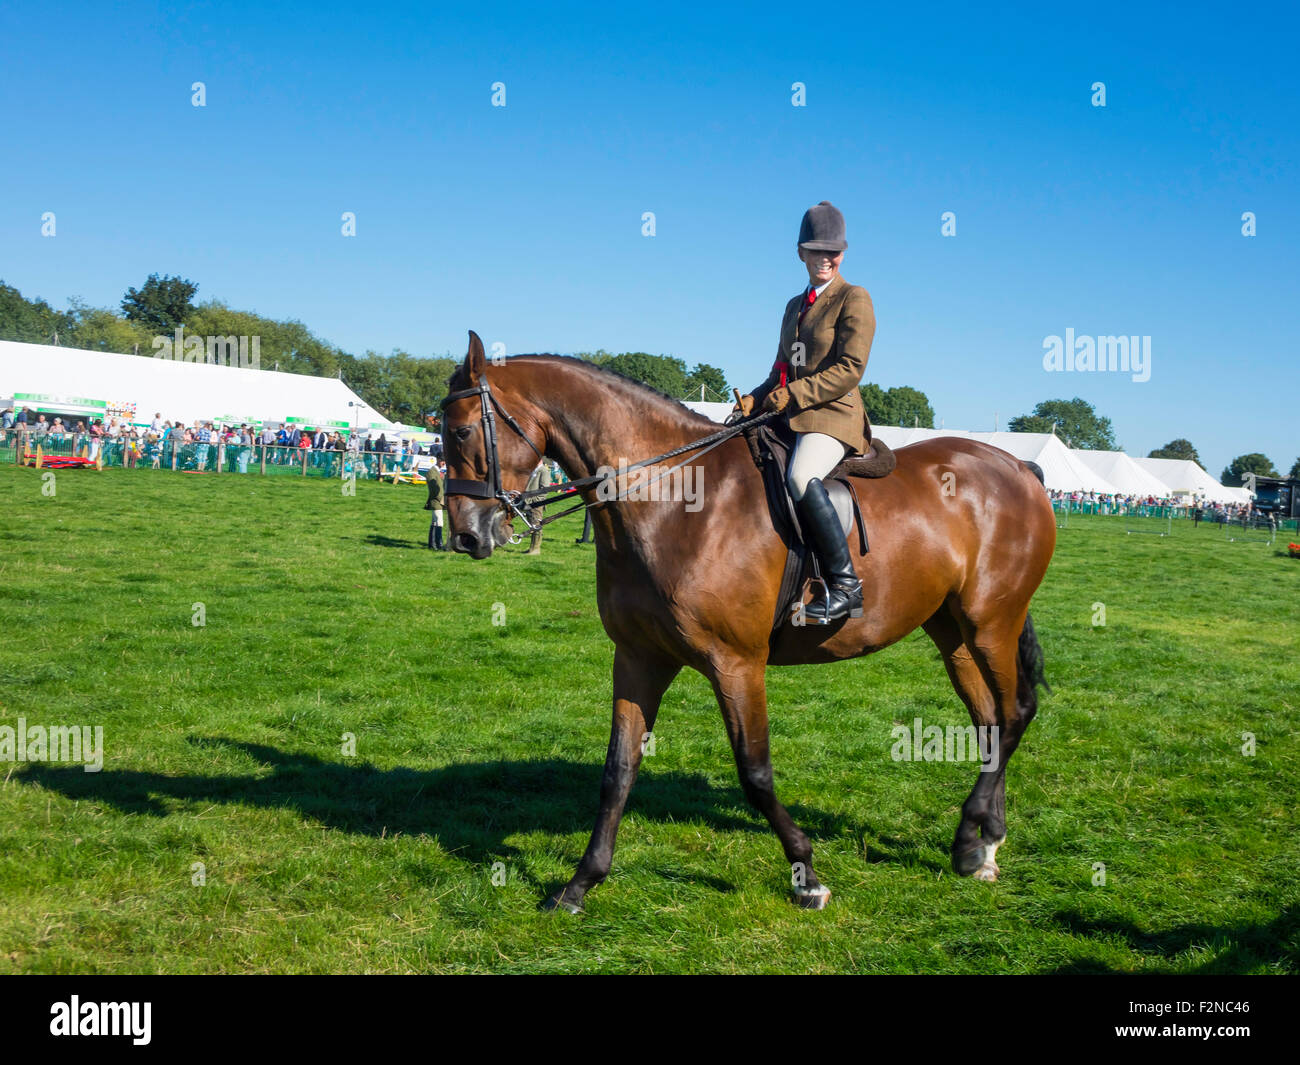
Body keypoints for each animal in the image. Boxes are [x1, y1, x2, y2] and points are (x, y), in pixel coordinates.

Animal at [440, 332, 1056, 912]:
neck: (674, 499)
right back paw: (986, 844)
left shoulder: (736, 663)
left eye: (463, 432)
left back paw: (970, 839)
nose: (466, 535)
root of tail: (1018, 468)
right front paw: (578, 886)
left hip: (991, 622)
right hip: (952, 631)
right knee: (988, 721)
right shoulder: (639, 658)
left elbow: (755, 773)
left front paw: (807, 876)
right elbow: (618, 771)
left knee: (1015, 713)